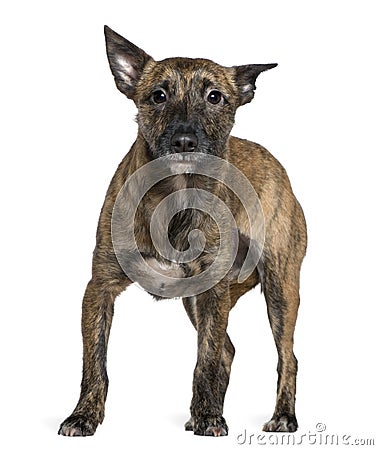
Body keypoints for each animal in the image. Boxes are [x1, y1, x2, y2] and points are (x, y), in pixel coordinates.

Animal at [58, 26, 308, 438]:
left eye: (215, 97)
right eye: (158, 95)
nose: (185, 141)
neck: (175, 195)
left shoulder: (213, 294)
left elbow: (205, 360)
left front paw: (208, 416)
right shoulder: (99, 289)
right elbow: (94, 363)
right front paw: (83, 416)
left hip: (280, 288)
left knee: (285, 355)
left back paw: (282, 415)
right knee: (228, 350)